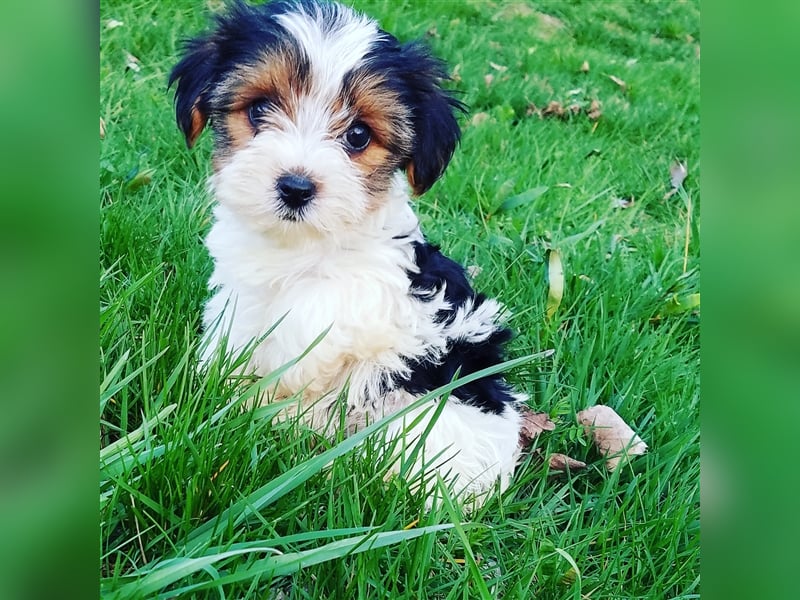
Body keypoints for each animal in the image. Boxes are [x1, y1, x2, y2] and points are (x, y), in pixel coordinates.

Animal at [170, 0, 524, 504]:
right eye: (259, 109)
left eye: (358, 135)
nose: (296, 187)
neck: (304, 244)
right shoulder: (242, 289)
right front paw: (215, 390)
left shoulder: (368, 303)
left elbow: (306, 335)